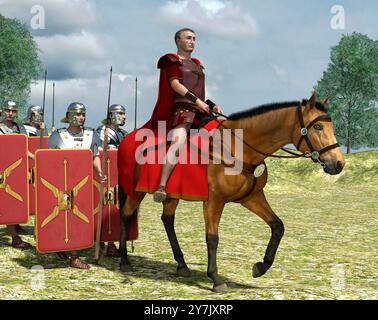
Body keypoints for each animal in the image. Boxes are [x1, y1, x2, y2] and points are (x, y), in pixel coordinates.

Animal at [119, 92, 346, 292]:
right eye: (317, 126)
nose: (338, 163)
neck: (237, 147)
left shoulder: (252, 197)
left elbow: (278, 226)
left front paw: (261, 267)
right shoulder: (214, 201)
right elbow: (212, 238)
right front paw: (216, 279)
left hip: (172, 195)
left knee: (167, 219)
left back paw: (181, 265)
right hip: (135, 191)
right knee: (126, 214)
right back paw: (123, 260)